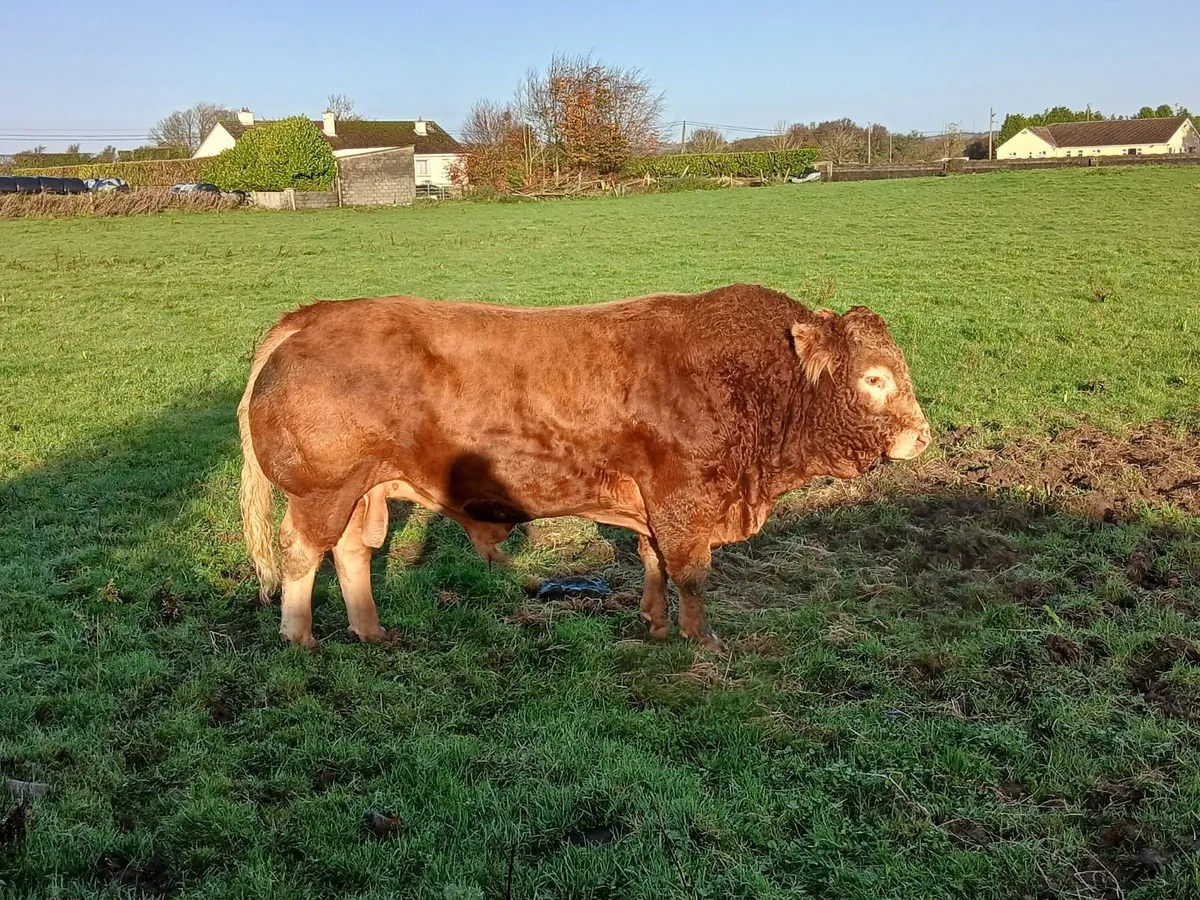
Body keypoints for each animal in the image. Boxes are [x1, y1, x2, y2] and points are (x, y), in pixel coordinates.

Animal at [237, 283, 931, 654]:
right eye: (875, 378)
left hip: (364, 488)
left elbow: (653, 560)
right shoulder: (685, 500)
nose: (922, 436)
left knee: (352, 552)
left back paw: (371, 629)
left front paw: (654, 621)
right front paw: (701, 639)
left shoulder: (654, 502)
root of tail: (314, 314)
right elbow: (692, 574)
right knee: (301, 553)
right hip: (323, 489)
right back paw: (300, 637)